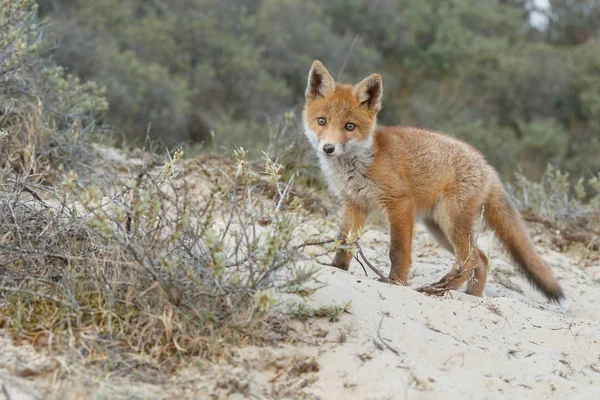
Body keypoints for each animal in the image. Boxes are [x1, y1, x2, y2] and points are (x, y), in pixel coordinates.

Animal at [302, 61, 564, 302]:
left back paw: (444, 287)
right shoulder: (354, 203)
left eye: (349, 126)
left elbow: (397, 250)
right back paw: (472, 296)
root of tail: (487, 166)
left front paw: (396, 281)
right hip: (438, 227)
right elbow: (343, 242)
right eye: (322, 121)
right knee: (481, 258)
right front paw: (337, 268)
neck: (359, 164)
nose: (328, 148)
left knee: (470, 257)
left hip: (450, 221)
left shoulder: (399, 202)